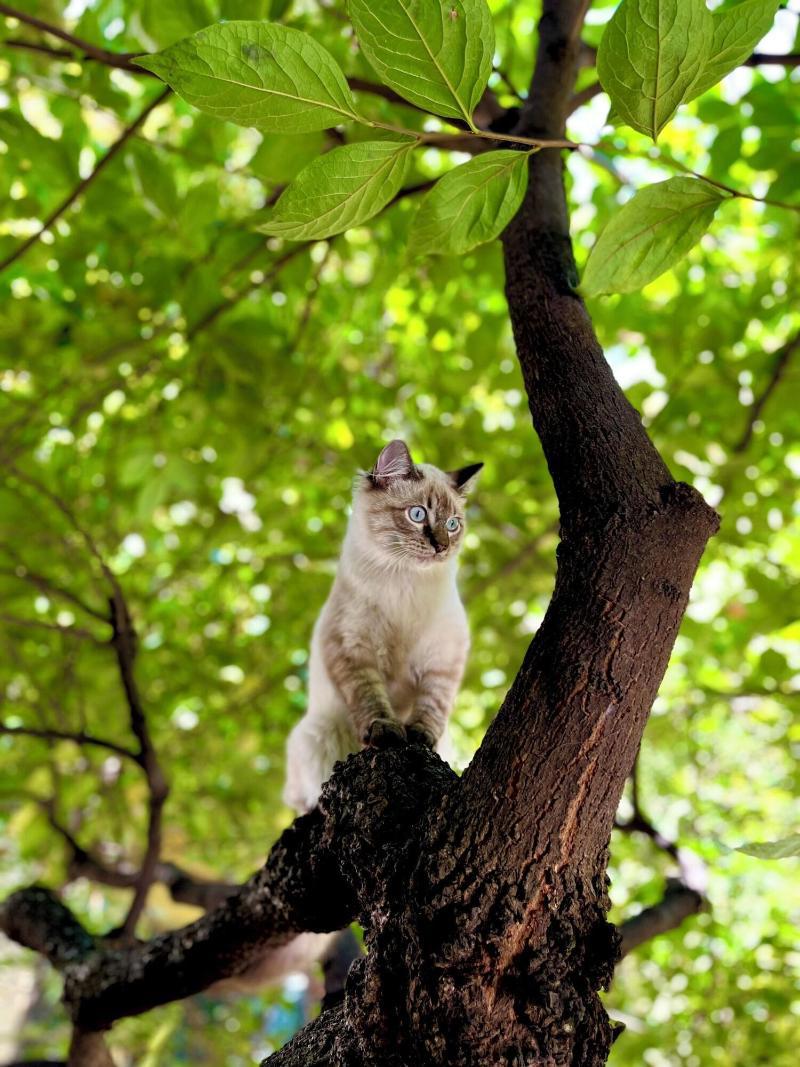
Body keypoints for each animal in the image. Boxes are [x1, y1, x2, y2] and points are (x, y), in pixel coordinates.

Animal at [283, 439, 482, 814]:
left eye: (452, 524)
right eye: (417, 515)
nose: (442, 547)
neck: (404, 583)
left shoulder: (444, 655)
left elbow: (432, 706)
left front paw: (418, 737)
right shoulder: (352, 647)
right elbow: (370, 699)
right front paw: (388, 733)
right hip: (317, 735)